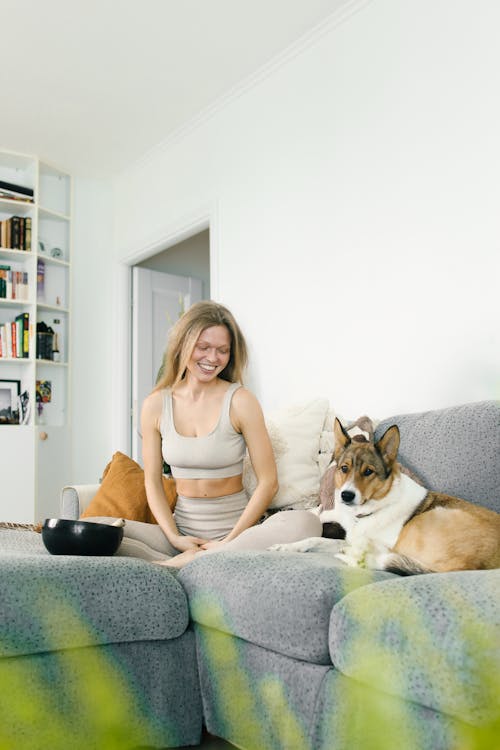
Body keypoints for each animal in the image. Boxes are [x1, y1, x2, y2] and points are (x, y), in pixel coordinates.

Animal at [274, 418, 500, 576]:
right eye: (344, 468)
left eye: (368, 471)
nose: (346, 496)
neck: (370, 511)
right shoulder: (352, 541)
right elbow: (314, 539)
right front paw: (286, 547)